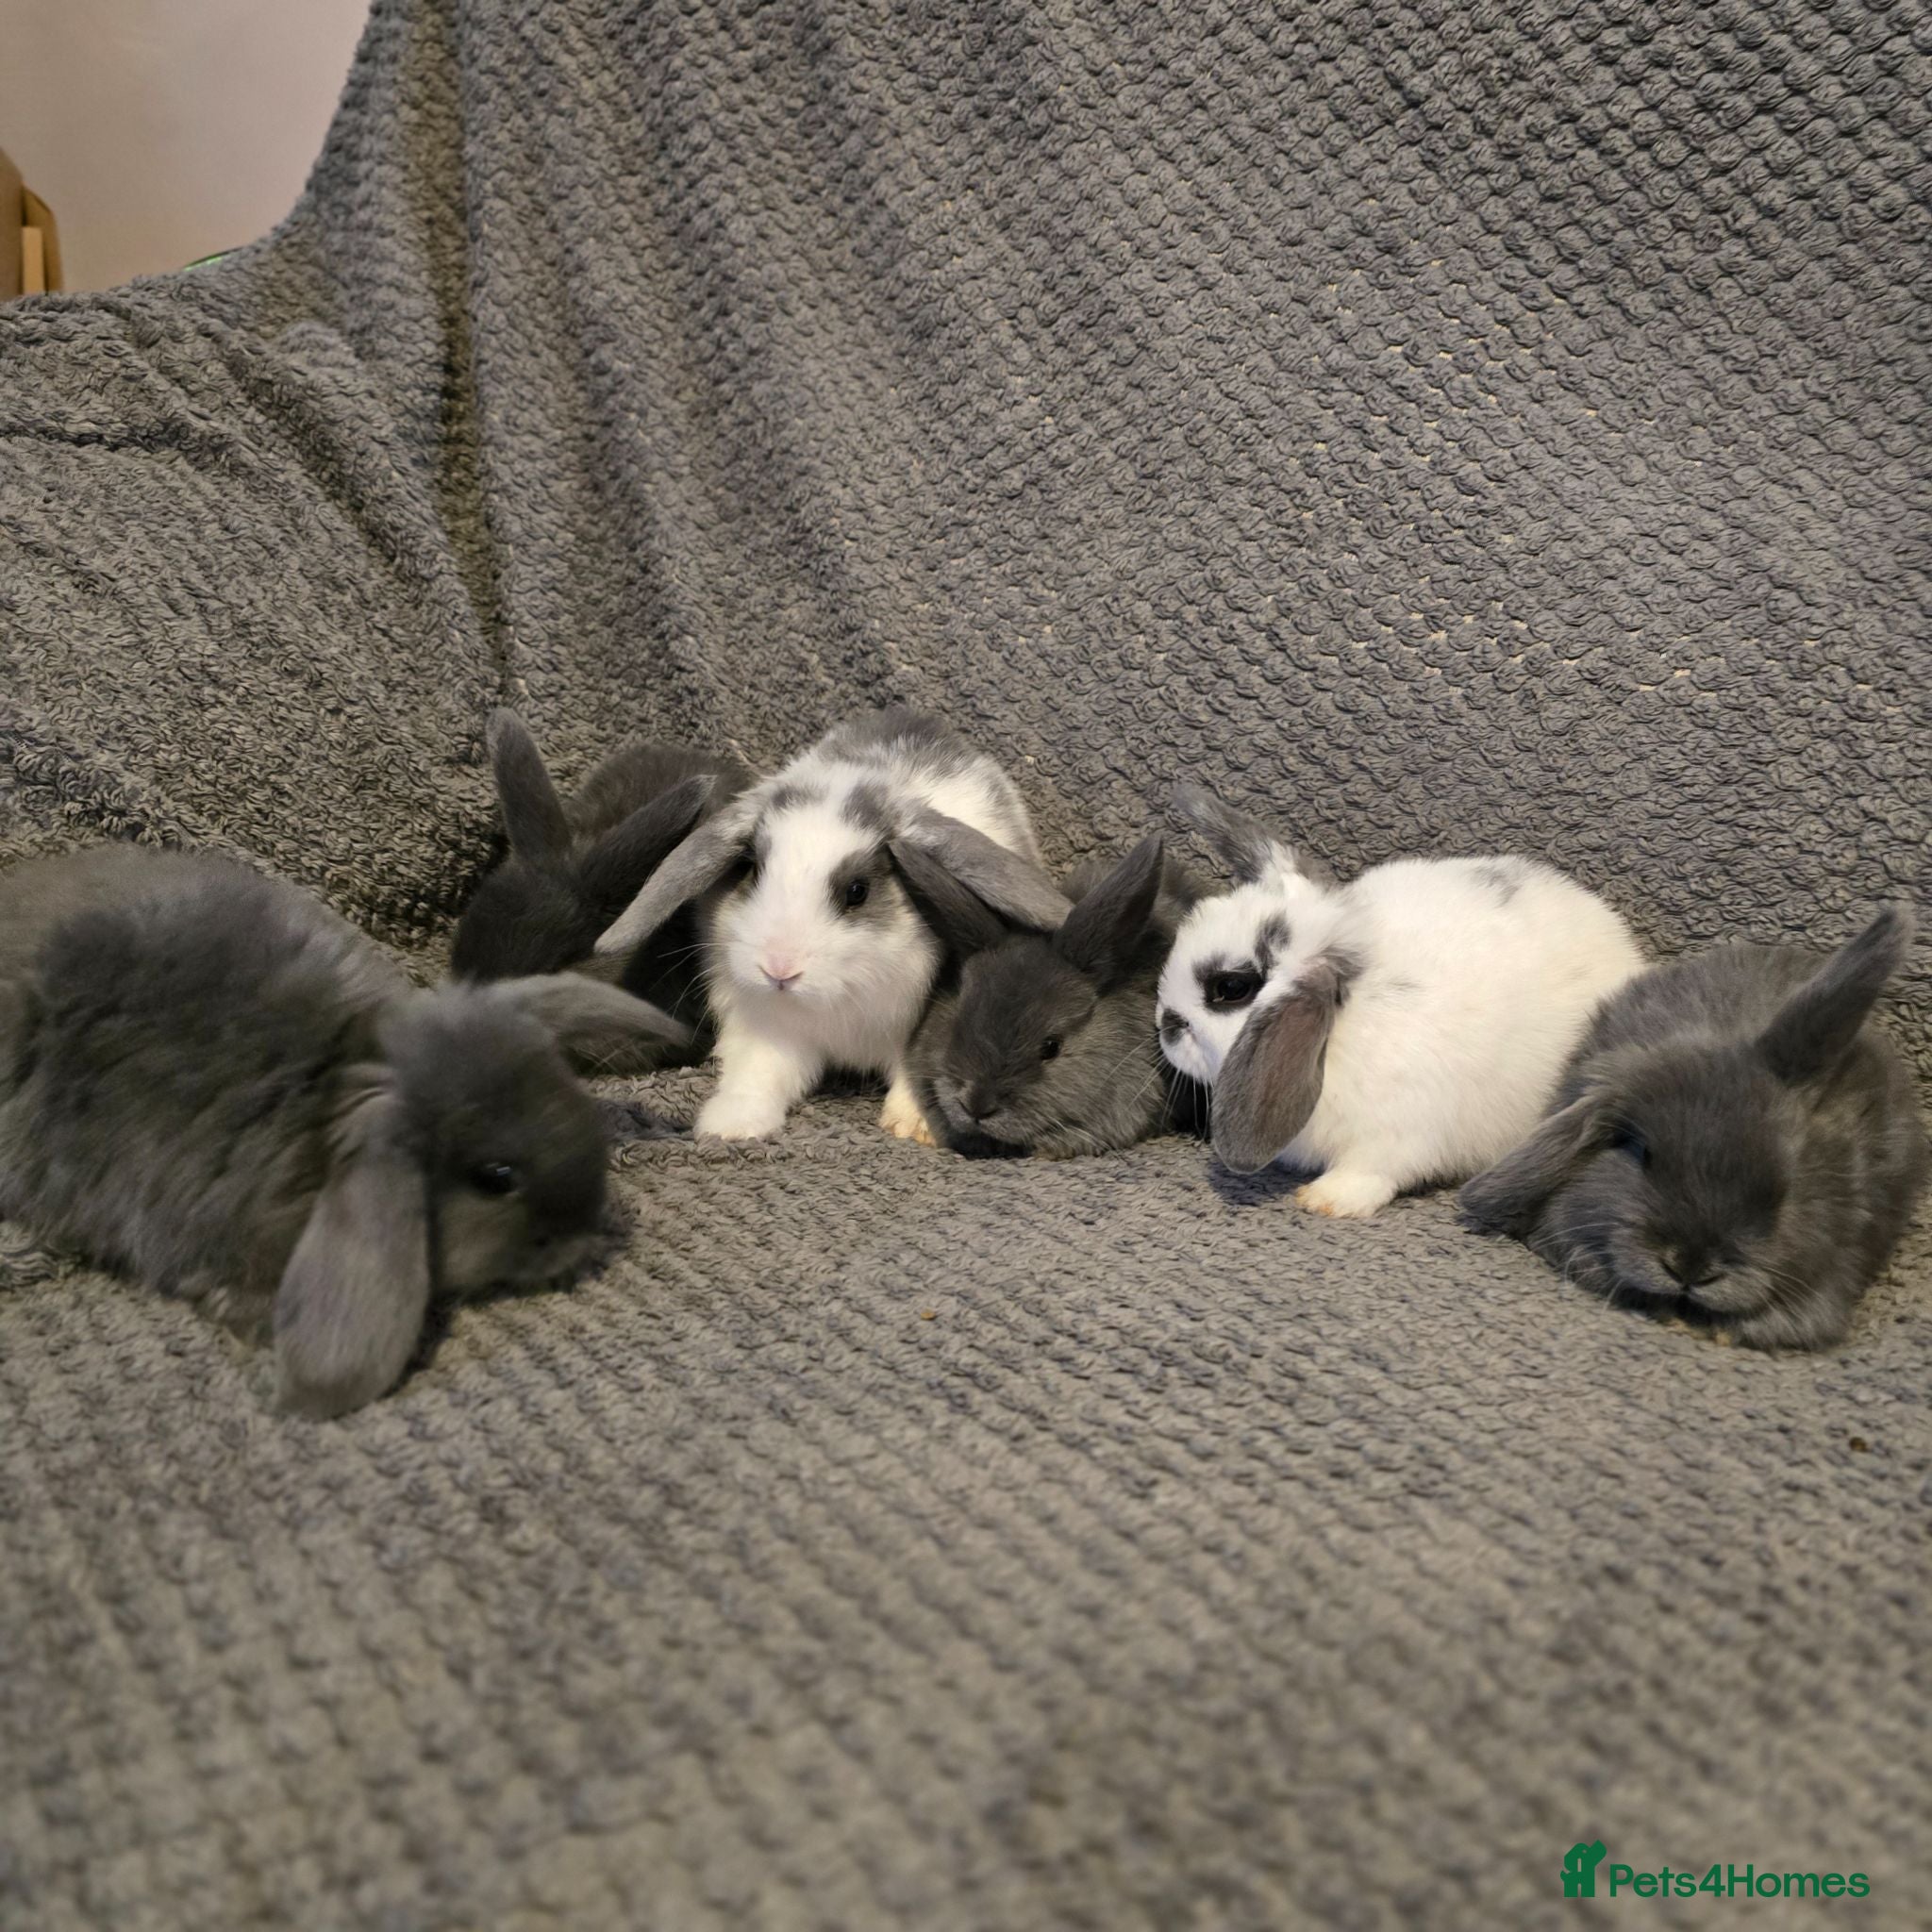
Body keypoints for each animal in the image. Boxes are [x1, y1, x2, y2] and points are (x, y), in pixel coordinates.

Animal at [594, 708, 1071, 1142]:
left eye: (857, 890)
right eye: (751, 869)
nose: (779, 969)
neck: (835, 997)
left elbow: (918, 1074)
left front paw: (914, 1127)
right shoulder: (768, 1030)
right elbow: (759, 1074)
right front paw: (731, 1126)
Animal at [1158, 786, 1646, 1217]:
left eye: (1231, 988)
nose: (1166, 1026)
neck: (1346, 1021)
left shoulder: (1397, 1135)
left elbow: (1372, 1172)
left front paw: (1327, 1200)